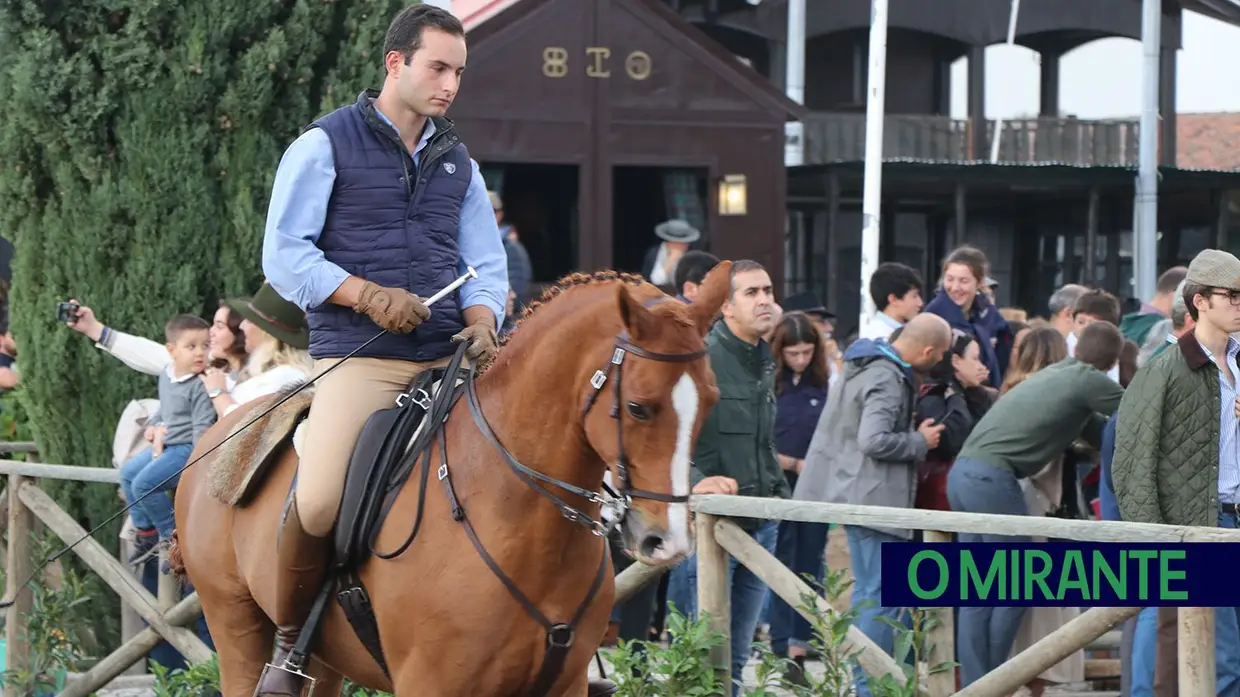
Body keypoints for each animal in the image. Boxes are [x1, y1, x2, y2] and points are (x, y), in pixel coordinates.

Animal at [176, 262, 734, 689]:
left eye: (711, 400)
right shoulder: (433, 683)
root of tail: (212, 439)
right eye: (638, 407)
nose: (667, 542)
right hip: (237, 631)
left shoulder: (564, 685)